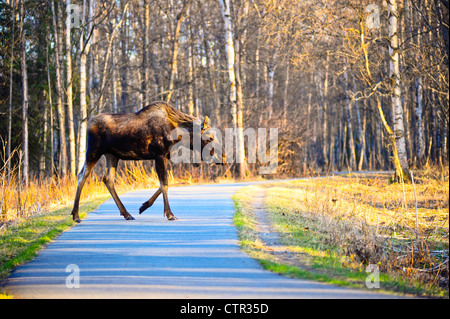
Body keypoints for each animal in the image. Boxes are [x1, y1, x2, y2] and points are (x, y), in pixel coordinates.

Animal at [70, 101, 223, 224]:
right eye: (210, 138)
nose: (221, 158)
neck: (179, 136)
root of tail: (88, 122)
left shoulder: (164, 156)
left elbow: (163, 184)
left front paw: (143, 206)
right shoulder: (160, 155)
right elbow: (164, 184)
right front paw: (170, 214)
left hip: (112, 156)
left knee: (108, 179)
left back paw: (127, 214)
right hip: (94, 150)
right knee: (82, 175)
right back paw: (76, 215)